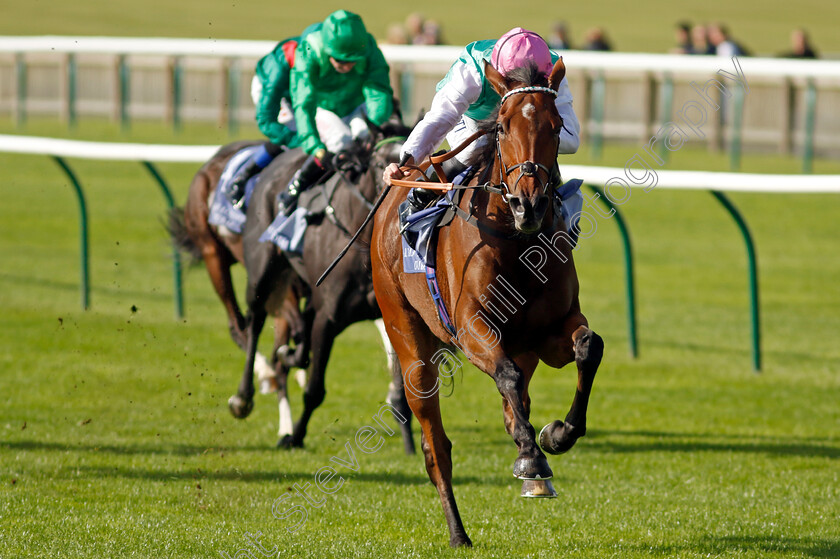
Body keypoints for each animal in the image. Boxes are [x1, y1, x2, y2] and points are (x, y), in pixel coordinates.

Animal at [374, 60, 604, 548]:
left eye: (557, 126)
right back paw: (459, 532)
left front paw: (556, 436)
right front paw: (532, 456)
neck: (516, 243)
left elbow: (587, 347)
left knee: (516, 401)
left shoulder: (550, 332)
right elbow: (507, 376)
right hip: (407, 338)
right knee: (436, 447)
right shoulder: (472, 329)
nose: (528, 203)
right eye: (501, 126)